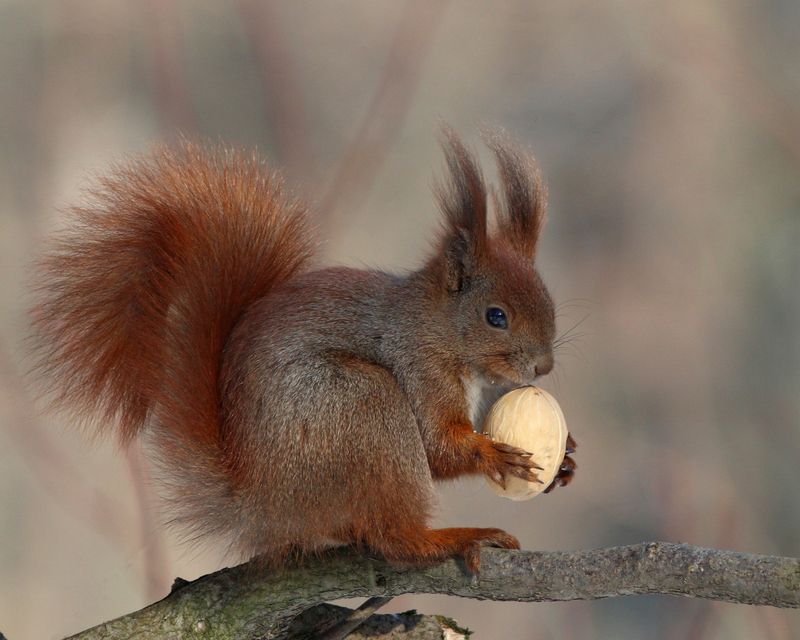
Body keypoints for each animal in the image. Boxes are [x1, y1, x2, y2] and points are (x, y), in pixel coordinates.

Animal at [30, 128, 576, 573]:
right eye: (495, 316)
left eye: (549, 298)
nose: (544, 366)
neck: (438, 330)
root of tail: (263, 508)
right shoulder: (416, 362)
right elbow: (439, 447)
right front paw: (495, 454)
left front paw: (567, 459)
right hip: (362, 405)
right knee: (393, 538)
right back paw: (454, 538)